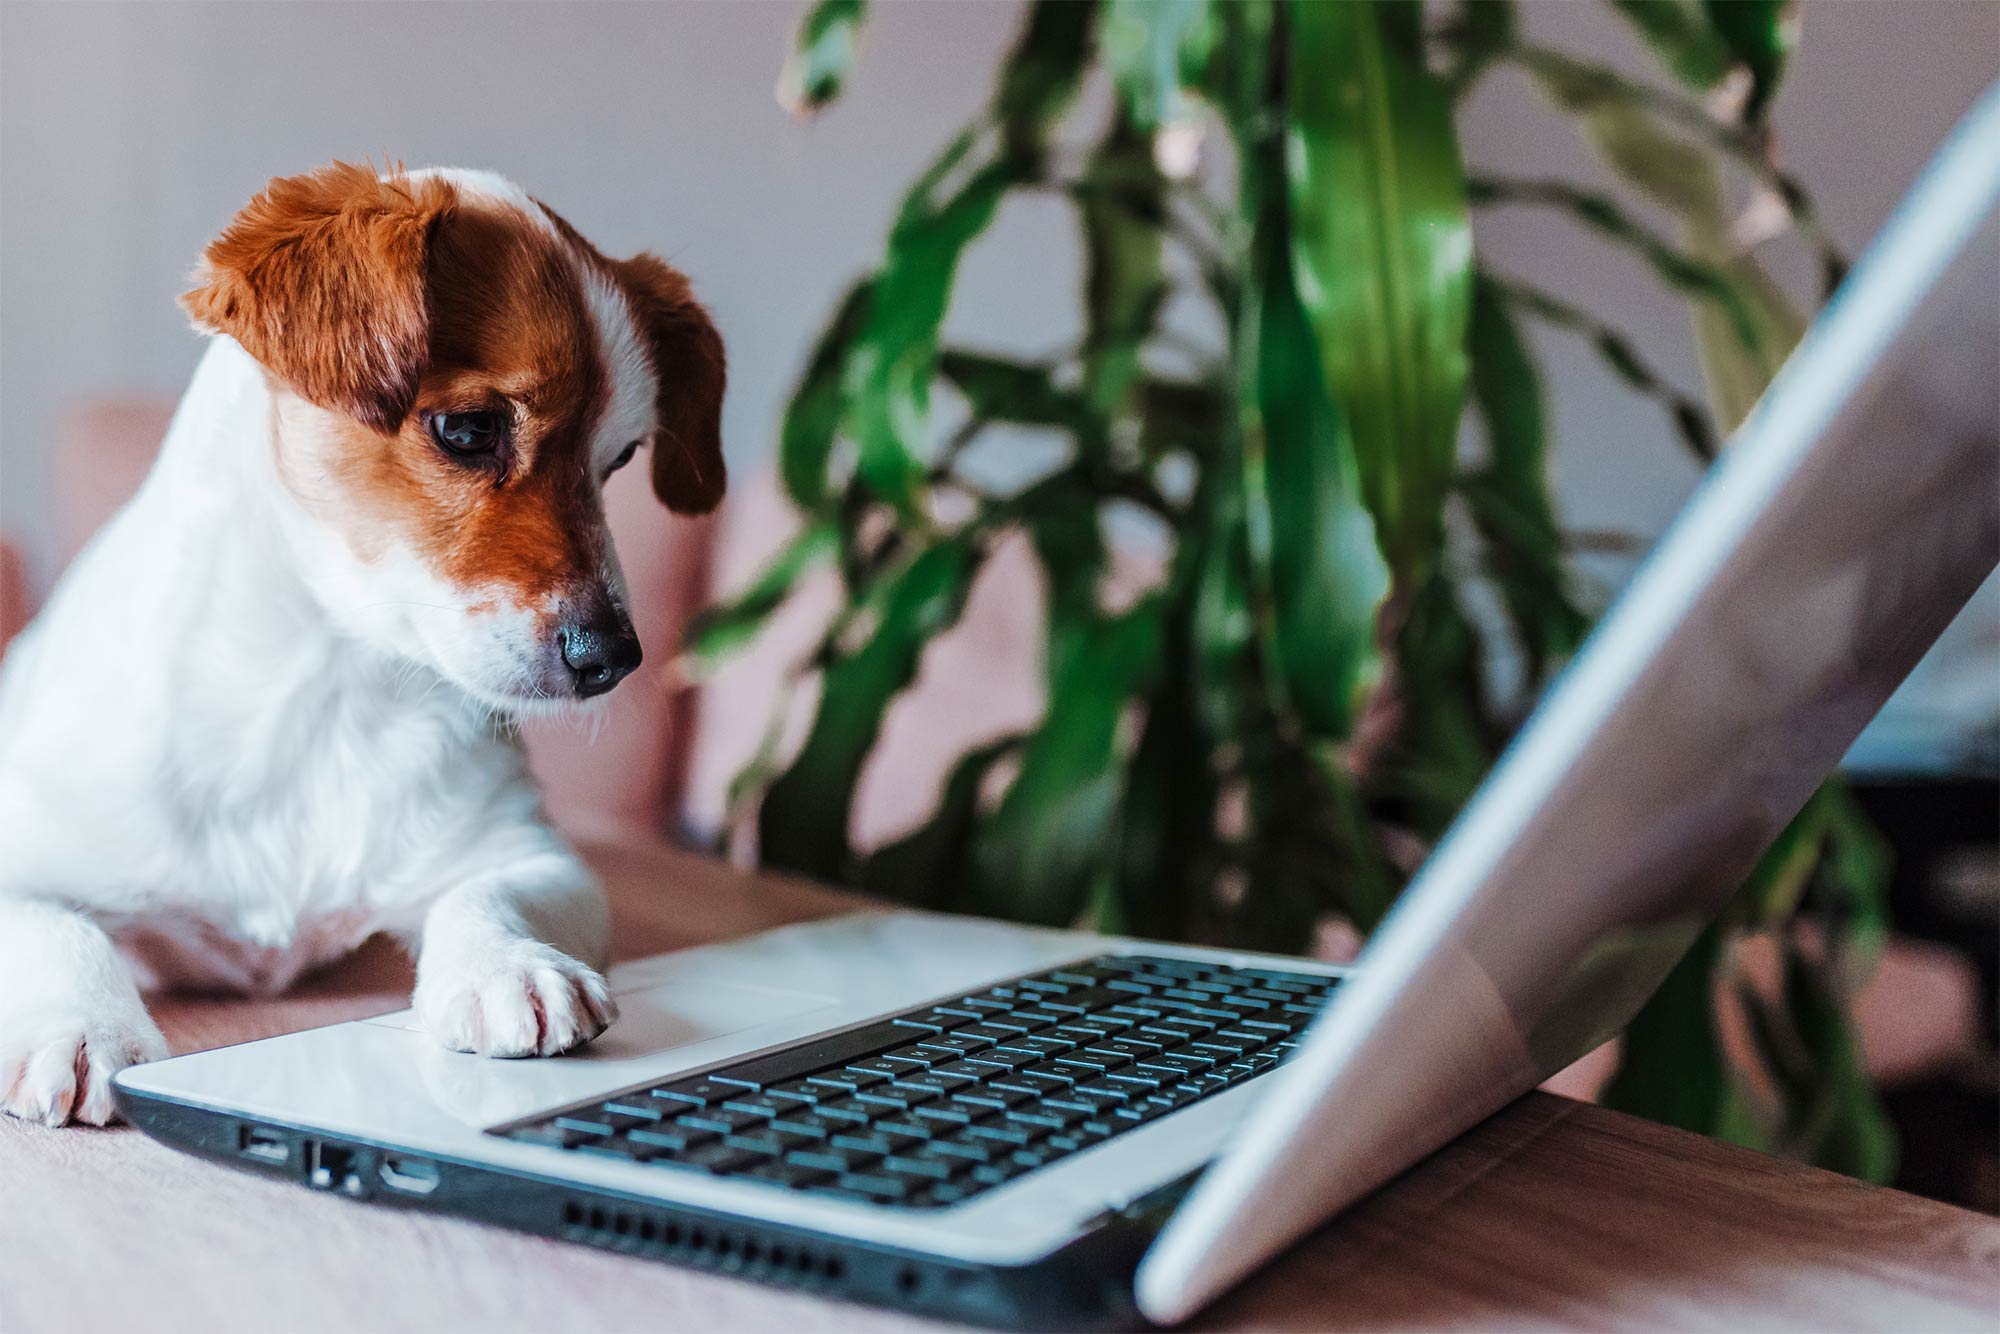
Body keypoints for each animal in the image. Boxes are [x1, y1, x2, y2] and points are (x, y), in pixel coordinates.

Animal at [0, 164, 728, 1128]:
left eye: (618, 461)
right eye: (469, 430)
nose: (613, 656)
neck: (317, 684)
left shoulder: (529, 854)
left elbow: (489, 895)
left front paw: (507, 964)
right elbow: (55, 926)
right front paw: (81, 1021)